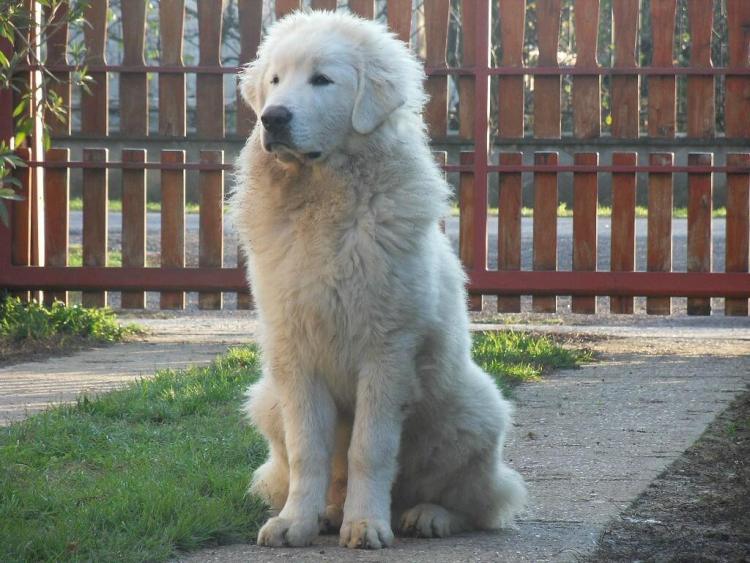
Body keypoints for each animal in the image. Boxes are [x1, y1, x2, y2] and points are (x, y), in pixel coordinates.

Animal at [235, 11, 528, 552]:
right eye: (276, 81)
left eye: (322, 80)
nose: (273, 118)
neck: (325, 203)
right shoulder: (294, 352)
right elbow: (309, 450)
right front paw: (295, 522)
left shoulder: (387, 350)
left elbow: (368, 449)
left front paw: (367, 525)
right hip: (266, 399)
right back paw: (329, 513)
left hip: (473, 411)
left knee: (478, 502)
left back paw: (427, 516)